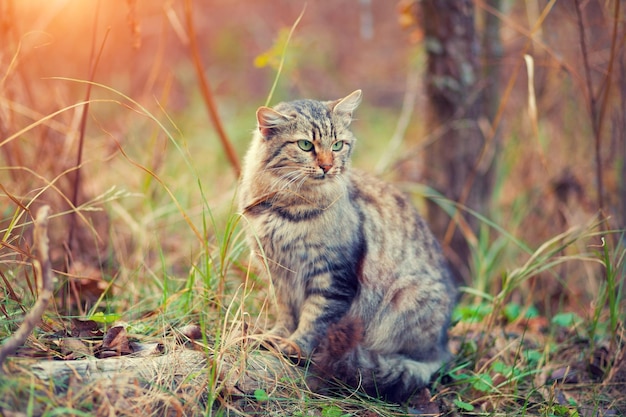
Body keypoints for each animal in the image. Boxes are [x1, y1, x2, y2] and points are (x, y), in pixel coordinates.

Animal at [236, 89, 456, 402]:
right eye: (305, 145)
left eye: (338, 145)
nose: (328, 166)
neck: (287, 209)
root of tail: (443, 346)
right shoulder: (278, 272)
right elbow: (286, 313)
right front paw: (276, 337)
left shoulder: (332, 275)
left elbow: (314, 319)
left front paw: (294, 346)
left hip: (407, 298)